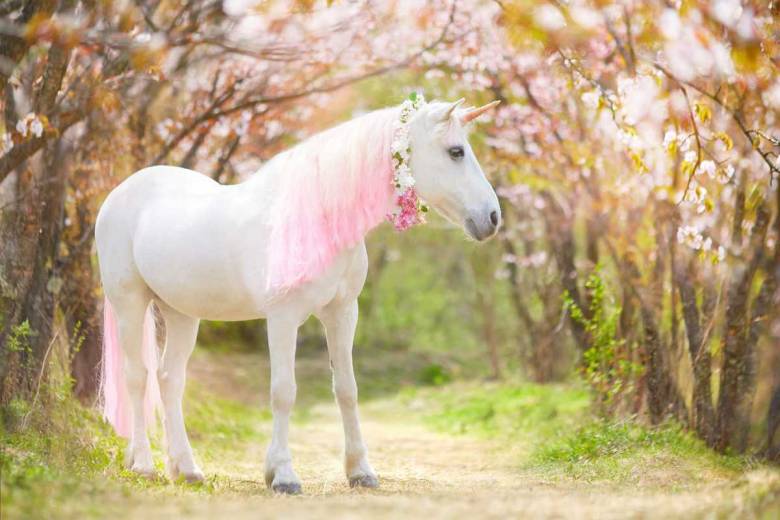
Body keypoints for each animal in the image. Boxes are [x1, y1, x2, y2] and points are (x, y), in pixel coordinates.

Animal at [96, 96, 500, 492]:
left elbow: (347, 389)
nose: (493, 218)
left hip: (181, 312)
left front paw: (360, 471)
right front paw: (283, 475)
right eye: (456, 151)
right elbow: (283, 391)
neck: (317, 217)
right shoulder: (283, 317)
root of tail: (120, 192)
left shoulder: (342, 312)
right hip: (130, 303)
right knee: (138, 377)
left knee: (170, 380)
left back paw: (186, 469)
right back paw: (144, 465)